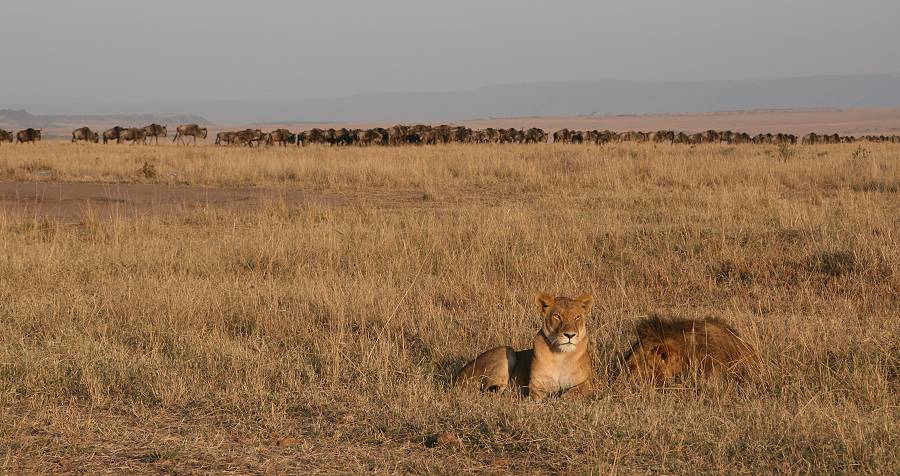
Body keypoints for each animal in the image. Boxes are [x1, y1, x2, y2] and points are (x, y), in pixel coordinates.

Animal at [454, 294, 596, 398]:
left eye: (577, 317)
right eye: (557, 316)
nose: (570, 335)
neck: (561, 355)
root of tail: (457, 376)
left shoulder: (588, 383)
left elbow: (574, 392)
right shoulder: (536, 385)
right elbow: (538, 398)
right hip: (506, 350)